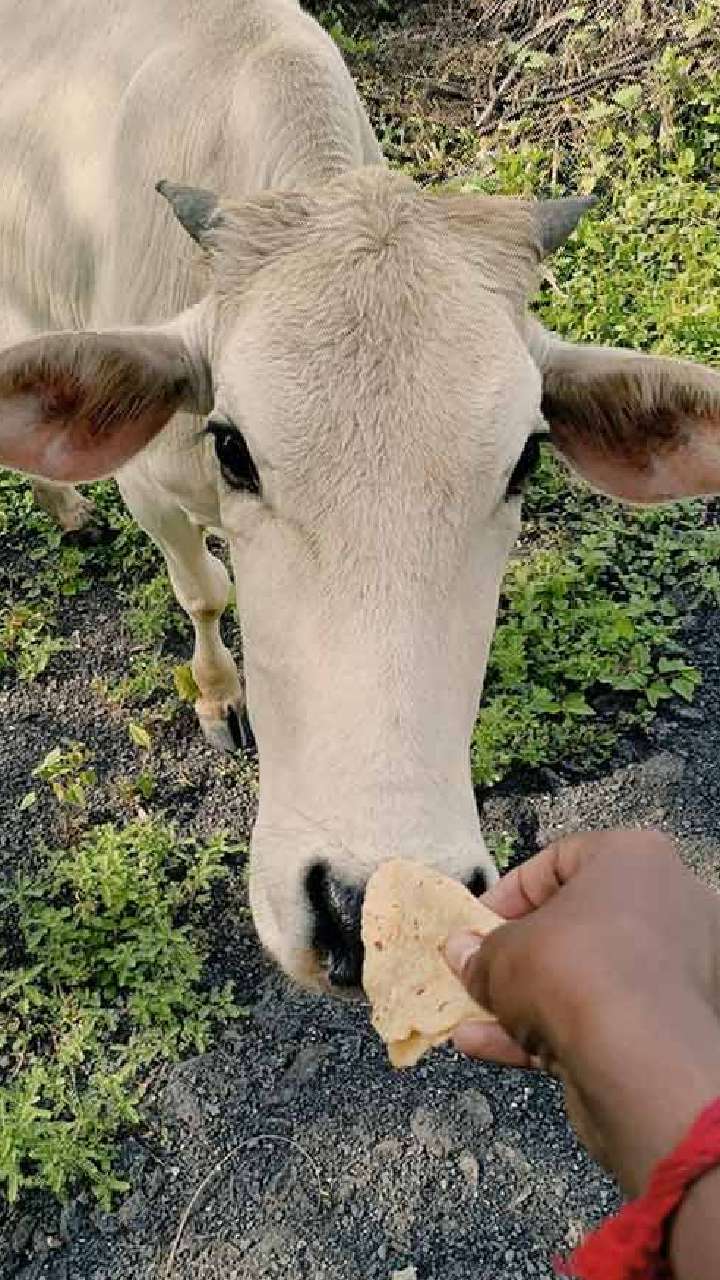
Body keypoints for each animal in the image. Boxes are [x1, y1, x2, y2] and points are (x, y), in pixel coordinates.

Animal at [1, 0, 719, 992]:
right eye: (231, 446)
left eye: (526, 462)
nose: (361, 906)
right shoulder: (152, 489)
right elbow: (205, 592)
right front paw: (219, 697)